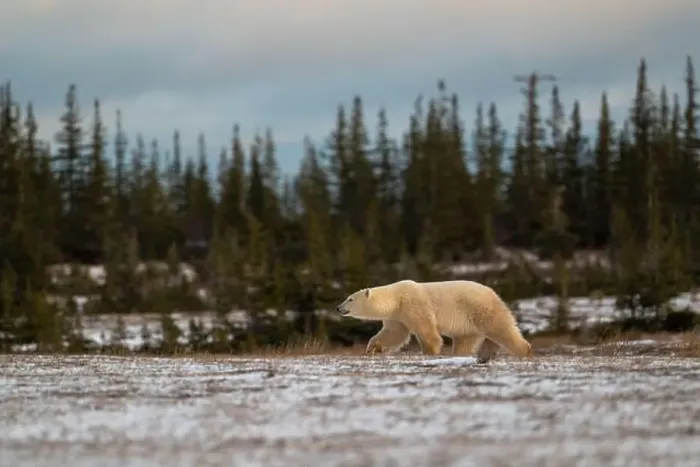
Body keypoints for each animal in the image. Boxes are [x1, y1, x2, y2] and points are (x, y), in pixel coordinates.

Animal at [335, 279, 532, 363]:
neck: (396, 297)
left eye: (350, 299)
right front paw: (373, 348)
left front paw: (430, 351)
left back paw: (525, 350)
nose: (338, 308)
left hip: (480, 308)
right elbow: (393, 334)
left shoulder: (413, 304)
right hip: (468, 323)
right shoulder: (397, 316)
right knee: (465, 340)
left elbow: (426, 330)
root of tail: (494, 293)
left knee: (502, 329)